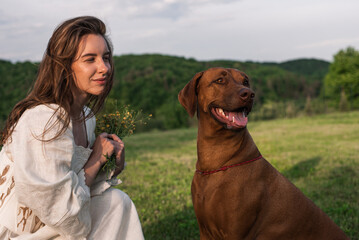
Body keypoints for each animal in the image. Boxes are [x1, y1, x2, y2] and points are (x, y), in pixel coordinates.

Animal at [179, 68, 350, 240]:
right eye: (220, 80)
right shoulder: (205, 231)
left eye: (245, 81)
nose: (249, 94)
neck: (215, 162)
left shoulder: (236, 233)